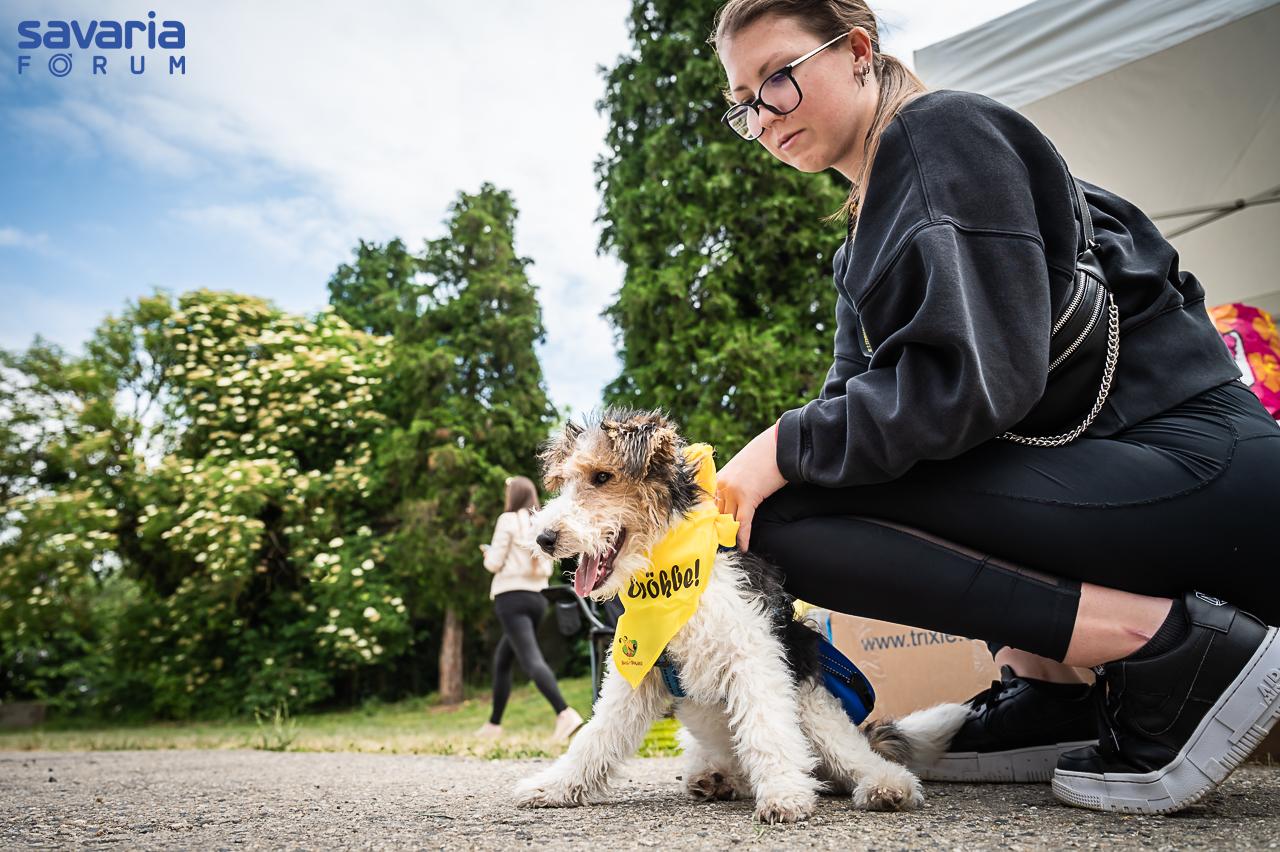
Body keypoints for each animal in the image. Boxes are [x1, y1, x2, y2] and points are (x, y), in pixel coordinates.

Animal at [512, 408, 968, 824]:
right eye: (564, 482)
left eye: (602, 477)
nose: (543, 539)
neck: (673, 580)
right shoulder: (637, 671)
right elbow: (597, 735)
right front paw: (554, 786)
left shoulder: (752, 654)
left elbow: (767, 729)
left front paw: (784, 794)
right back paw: (716, 778)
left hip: (816, 707)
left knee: (855, 757)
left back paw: (886, 786)